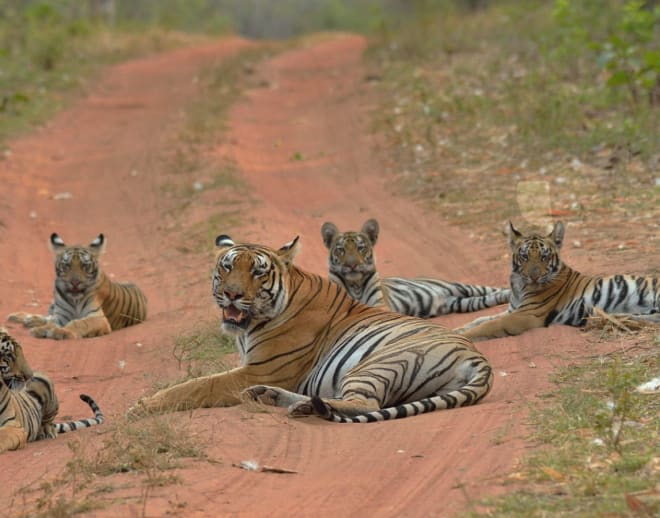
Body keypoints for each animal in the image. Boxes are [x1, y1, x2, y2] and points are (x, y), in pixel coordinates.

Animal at [8, 235, 147, 342]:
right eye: (66, 265)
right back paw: (24, 318)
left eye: (84, 265)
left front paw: (61, 332)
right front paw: (42, 329)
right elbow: (52, 321)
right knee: (48, 315)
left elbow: (79, 322)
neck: (74, 299)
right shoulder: (61, 314)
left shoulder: (98, 318)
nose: (75, 282)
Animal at [126, 237, 492, 426]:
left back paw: (302, 407)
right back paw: (279, 399)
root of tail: (480, 361)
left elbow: (197, 385)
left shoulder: (259, 369)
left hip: (378, 364)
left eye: (257, 272)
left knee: (363, 402)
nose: (231, 294)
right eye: (227, 266)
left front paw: (141, 407)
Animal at [320, 218, 510, 316]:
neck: (355, 285)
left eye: (360, 247)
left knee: (493, 289)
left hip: (462, 286)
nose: (352, 264)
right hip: (459, 303)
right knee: (485, 298)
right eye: (341, 250)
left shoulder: (380, 306)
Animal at [456, 221, 660, 344]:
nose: (534, 276)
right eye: (524, 256)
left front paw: (462, 336)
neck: (519, 286)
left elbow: (488, 325)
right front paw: (458, 328)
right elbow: (480, 319)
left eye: (544, 257)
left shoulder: (526, 315)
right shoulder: (513, 309)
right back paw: (617, 318)